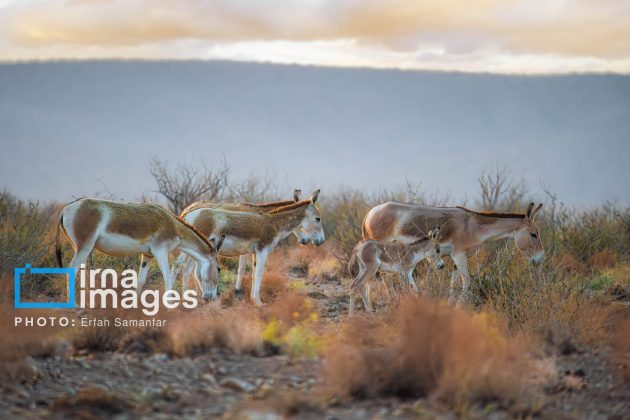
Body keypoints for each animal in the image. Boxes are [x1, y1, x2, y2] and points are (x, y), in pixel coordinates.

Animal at [55, 199, 226, 300]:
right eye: (219, 268)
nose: (212, 297)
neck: (173, 226)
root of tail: (65, 209)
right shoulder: (160, 251)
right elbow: (168, 279)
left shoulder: (147, 255)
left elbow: (141, 281)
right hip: (85, 246)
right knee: (72, 269)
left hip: (79, 247)